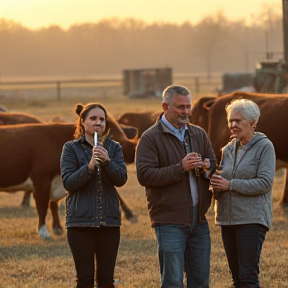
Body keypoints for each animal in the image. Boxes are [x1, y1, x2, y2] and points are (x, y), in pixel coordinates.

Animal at [0, 120, 138, 240]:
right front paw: (44, 232)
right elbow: (42, 207)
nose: (133, 150)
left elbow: (53, 204)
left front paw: (57, 228)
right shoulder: (41, 179)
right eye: (110, 132)